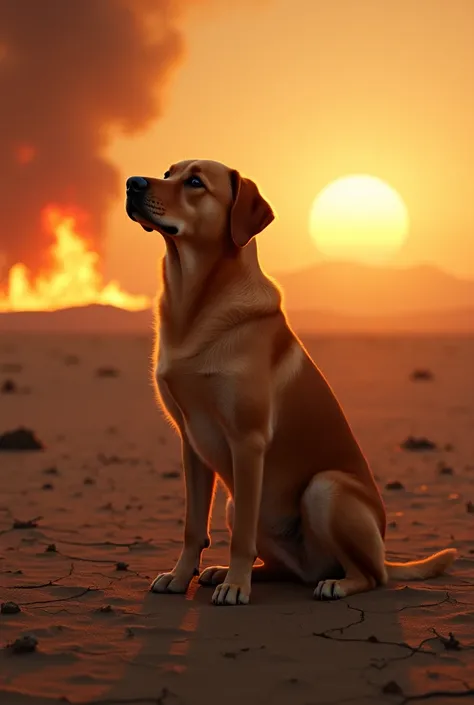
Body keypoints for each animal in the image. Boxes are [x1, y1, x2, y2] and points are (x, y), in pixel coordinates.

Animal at [124, 160, 458, 604]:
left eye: (195, 182)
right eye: (167, 173)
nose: (132, 183)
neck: (194, 301)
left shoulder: (247, 442)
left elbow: (241, 538)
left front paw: (236, 587)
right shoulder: (191, 443)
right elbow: (193, 526)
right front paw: (181, 577)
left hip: (324, 489)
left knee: (370, 576)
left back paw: (333, 583)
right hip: (236, 505)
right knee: (285, 568)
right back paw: (225, 572)